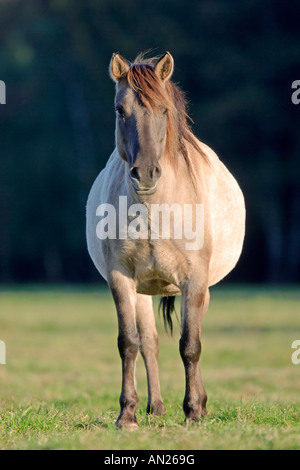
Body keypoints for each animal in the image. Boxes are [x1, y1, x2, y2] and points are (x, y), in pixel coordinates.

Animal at [86, 50, 246, 426]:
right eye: (120, 110)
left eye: (164, 110)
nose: (145, 173)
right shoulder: (121, 279)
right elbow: (129, 343)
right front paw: (126, 414)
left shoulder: (194, 280)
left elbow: (191, 345)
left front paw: (193, 412)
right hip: (143, 291)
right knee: (150, 342)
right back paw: (154, 406)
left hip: (199, 290)